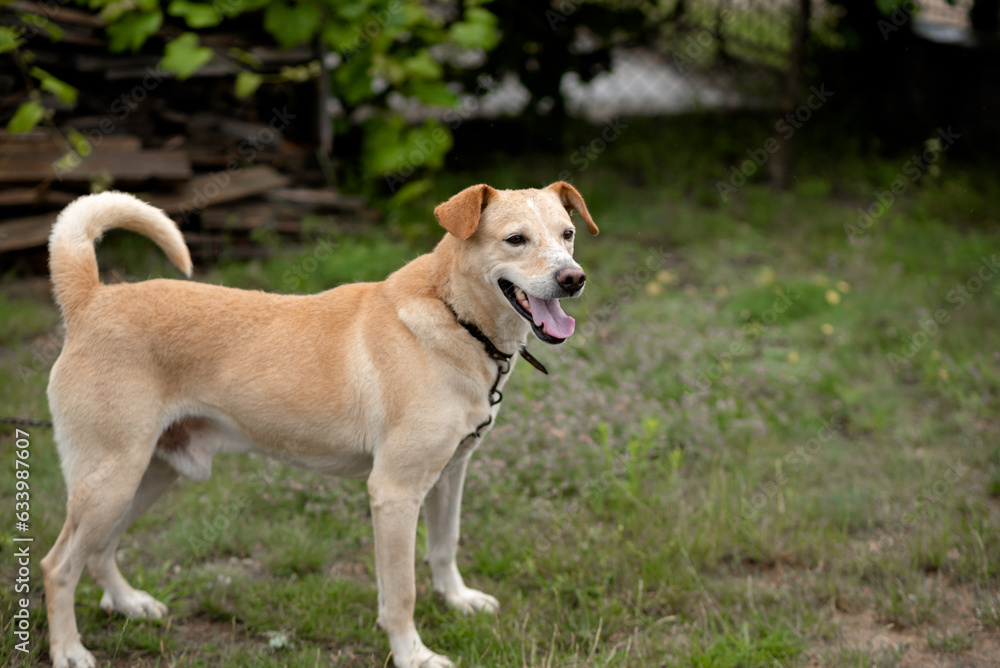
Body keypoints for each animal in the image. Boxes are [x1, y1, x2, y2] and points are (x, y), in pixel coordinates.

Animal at [41, 181, 592, 668]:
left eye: (567, 234)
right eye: (515, 239)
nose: (573, 279)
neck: (453, 312)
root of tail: (92, 298)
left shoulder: (450, 474)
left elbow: (443, 547)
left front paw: (457, 600)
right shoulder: (393, 492)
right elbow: (401, 593)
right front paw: (412, 655)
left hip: (150, 475)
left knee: (99, 551)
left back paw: (129, 603)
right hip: (112, 480)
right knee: (58, 565)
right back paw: (69, 650)